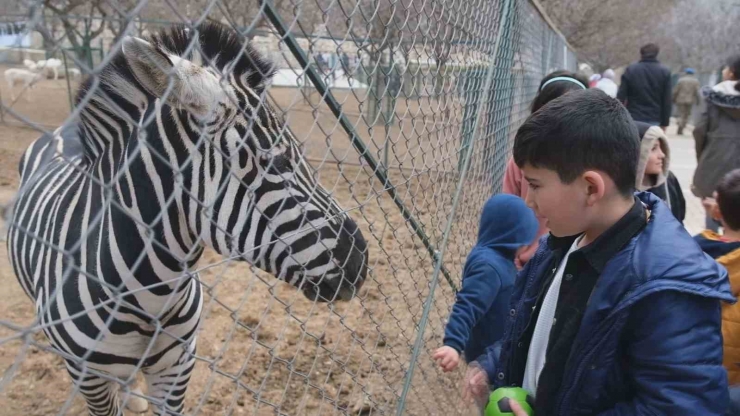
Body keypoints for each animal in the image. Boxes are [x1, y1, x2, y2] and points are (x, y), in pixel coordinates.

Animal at [7, 22, 370, 416]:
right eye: (277, 162)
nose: (362, 259)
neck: (152, 293)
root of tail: (65, 131)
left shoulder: (178, 364)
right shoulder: (89, 376)